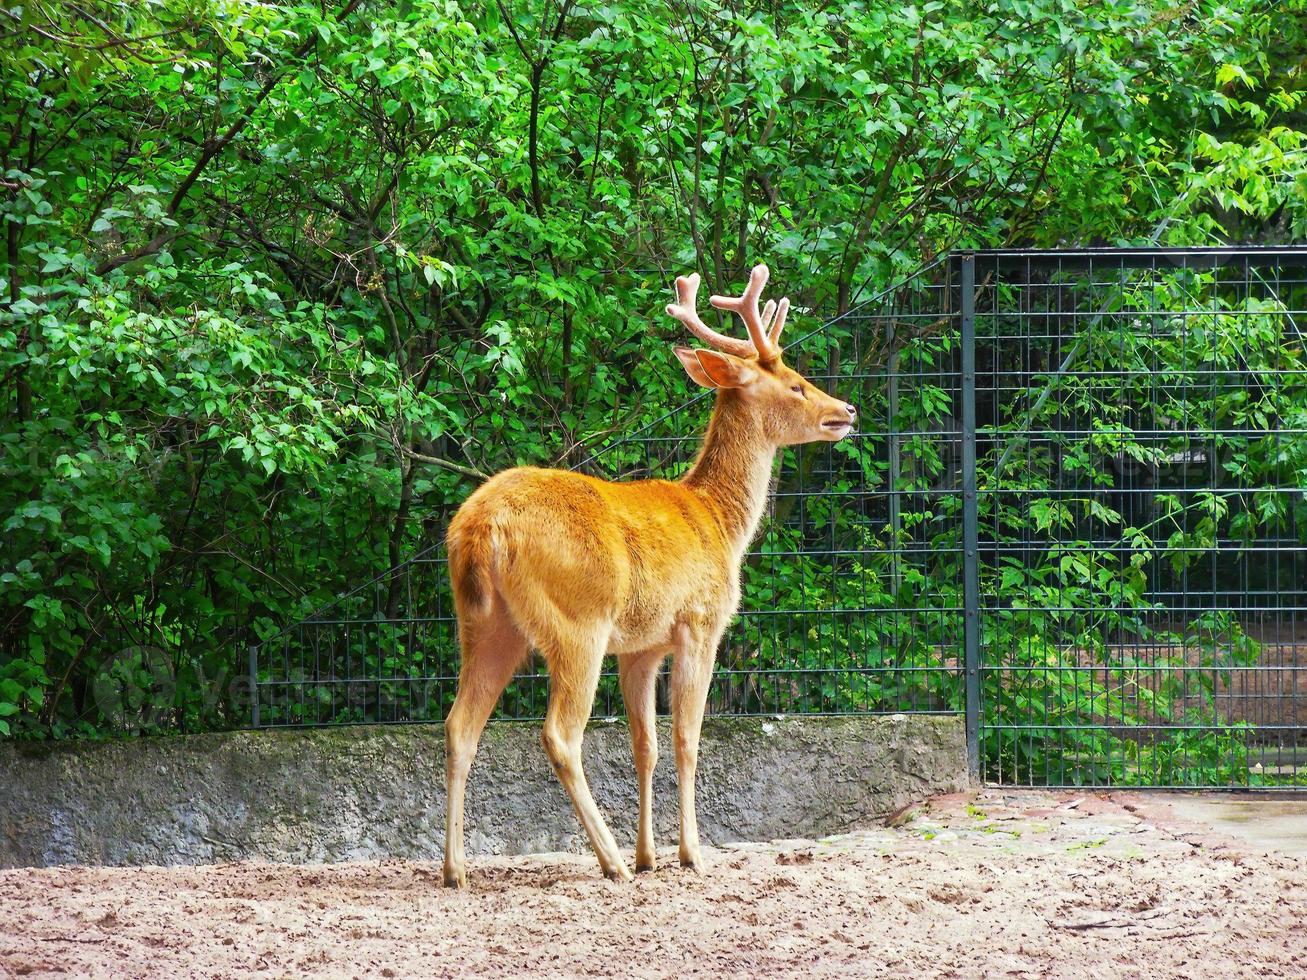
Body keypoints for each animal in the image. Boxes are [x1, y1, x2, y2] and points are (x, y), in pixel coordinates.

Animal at [444, 262, 862, 888]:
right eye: (794, 384)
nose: (846, 411)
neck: (720, 522)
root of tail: (482, 528)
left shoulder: (641, 647)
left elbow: (645, 744)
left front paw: (650, 856)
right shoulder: (699, 623)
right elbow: (687, 738)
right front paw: (689, 853)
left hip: (485, 624)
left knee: (458, 727)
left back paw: (456, 871)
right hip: (578, 621)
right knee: (560, 734)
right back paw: (609, 860)